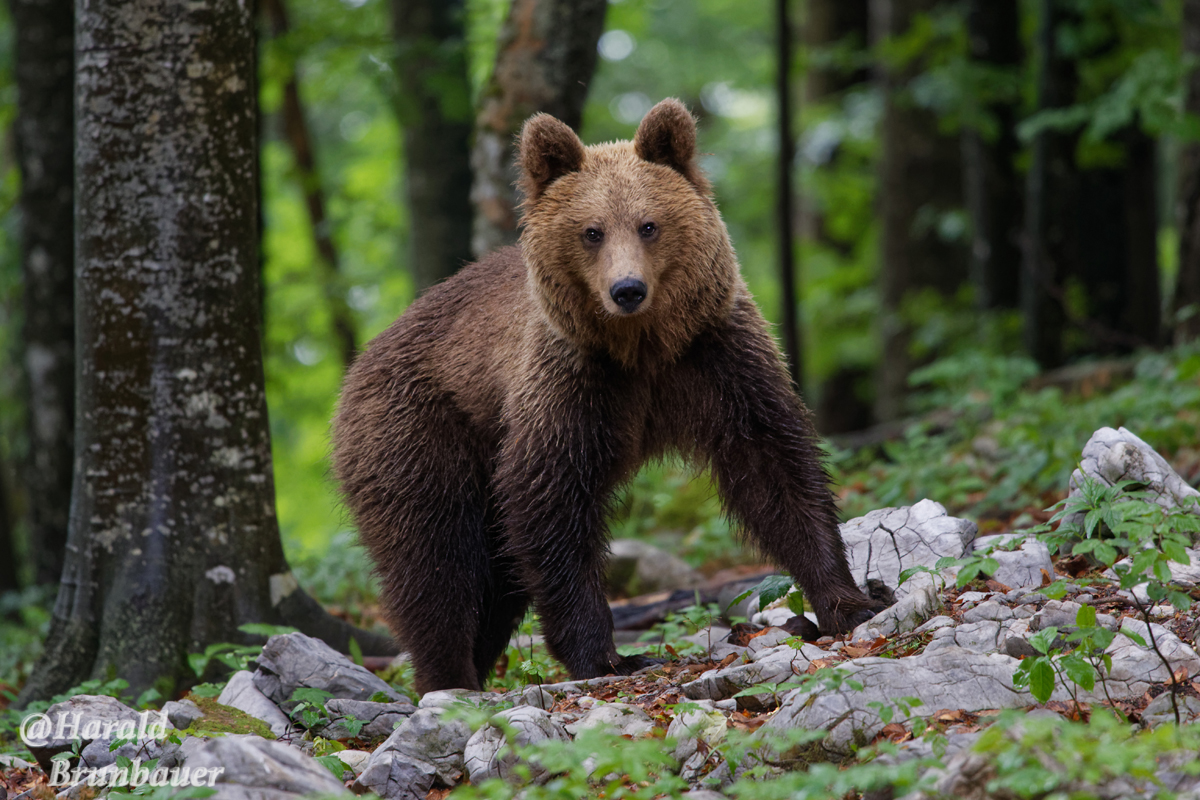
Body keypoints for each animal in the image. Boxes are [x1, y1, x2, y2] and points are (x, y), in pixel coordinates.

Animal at [333, 98, 878, 695]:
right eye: (591, 231)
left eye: (649, 224)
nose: (627, 290)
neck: (642, 348)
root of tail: (360, 364)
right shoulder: (572, 383)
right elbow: (551, 504)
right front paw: (610, 657)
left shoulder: (715, 357)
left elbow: (775, 468)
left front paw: (849, 601)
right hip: (419, 430)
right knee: (436, 560)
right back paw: (449, 678)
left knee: (493, 579)